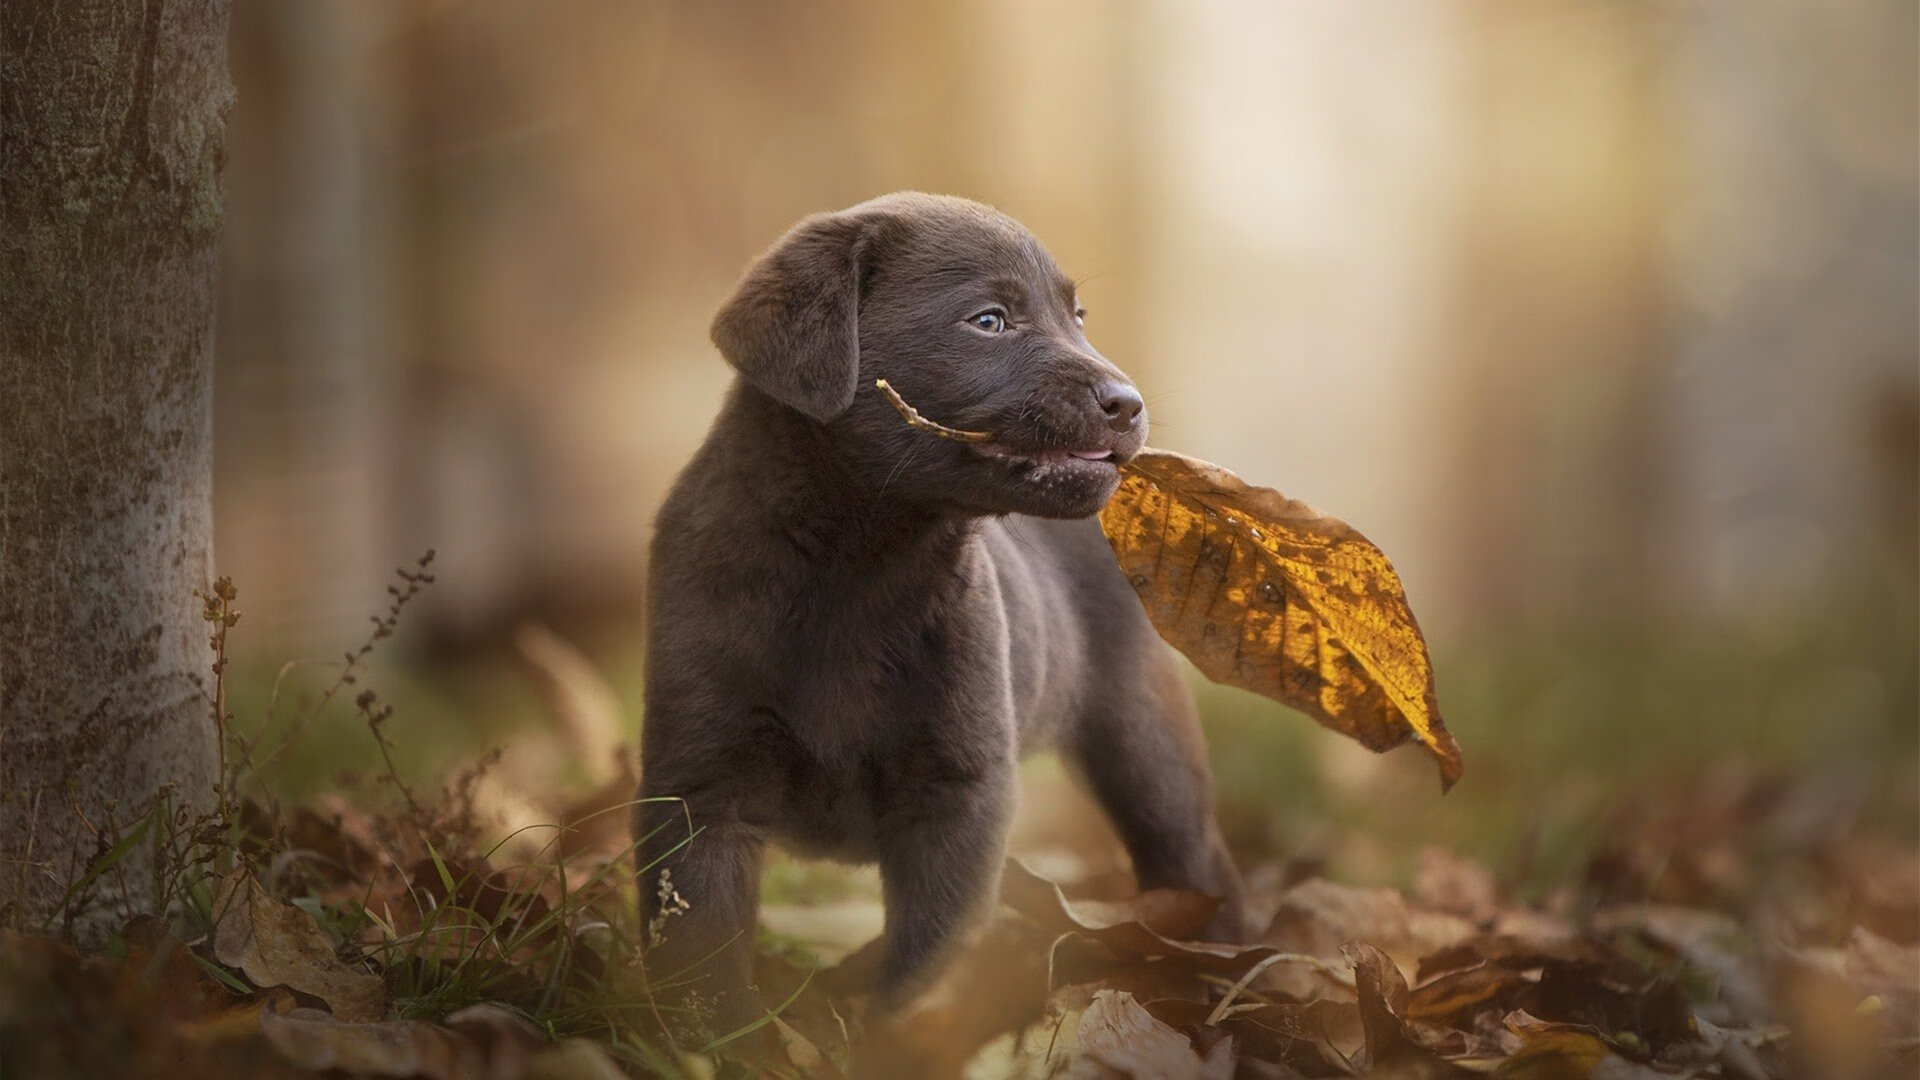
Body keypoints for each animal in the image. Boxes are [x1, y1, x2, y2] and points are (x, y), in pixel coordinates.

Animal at [637, 193, 1251, 1022]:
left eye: (1077, 315)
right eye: (988, 320)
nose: (1129, 404)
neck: (855, 571)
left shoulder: (960, 794)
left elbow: (921, 963)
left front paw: (879, 1034)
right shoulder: (698, 785)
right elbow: (700, 957)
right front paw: (726, 1037)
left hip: (1146, 742)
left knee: (1195, 858)